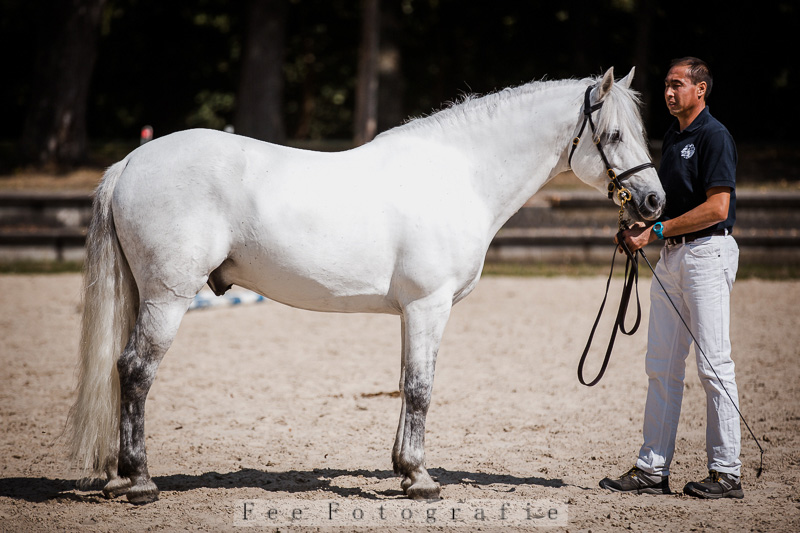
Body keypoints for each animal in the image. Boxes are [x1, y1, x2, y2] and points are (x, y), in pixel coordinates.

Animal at [67, 67, 665, 504]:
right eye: (614, 135)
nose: (654, 202)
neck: (458, 176)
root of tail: (131, 160)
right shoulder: (429, 306)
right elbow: (421, 389)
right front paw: (421, 480)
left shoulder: (411, 312)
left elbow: (405, 385)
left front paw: (403, 469)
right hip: (168, 298)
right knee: (136, 371)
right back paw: (141, 483)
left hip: (143, 296)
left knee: (122, 372)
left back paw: (118, 476)